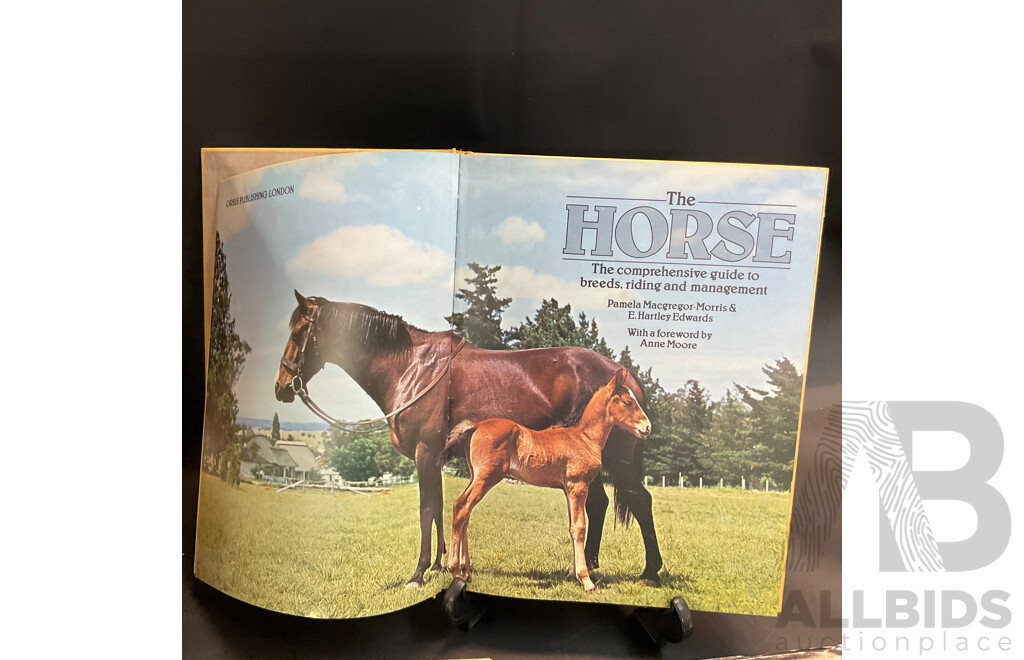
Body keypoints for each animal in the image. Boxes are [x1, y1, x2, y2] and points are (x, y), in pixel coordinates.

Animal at [445, 369, 651, 591]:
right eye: (628, 402)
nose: (647, 427)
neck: (585, 438)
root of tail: (475, 426)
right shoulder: (578, 486)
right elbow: (580, 527)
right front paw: (586, 580)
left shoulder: (568, 490)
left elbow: (572, 526)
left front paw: (574, 575)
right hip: (487, 477)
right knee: (461, 507)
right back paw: (455, 569)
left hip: (476, 476)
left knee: (466, 511)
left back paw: (466, 571)